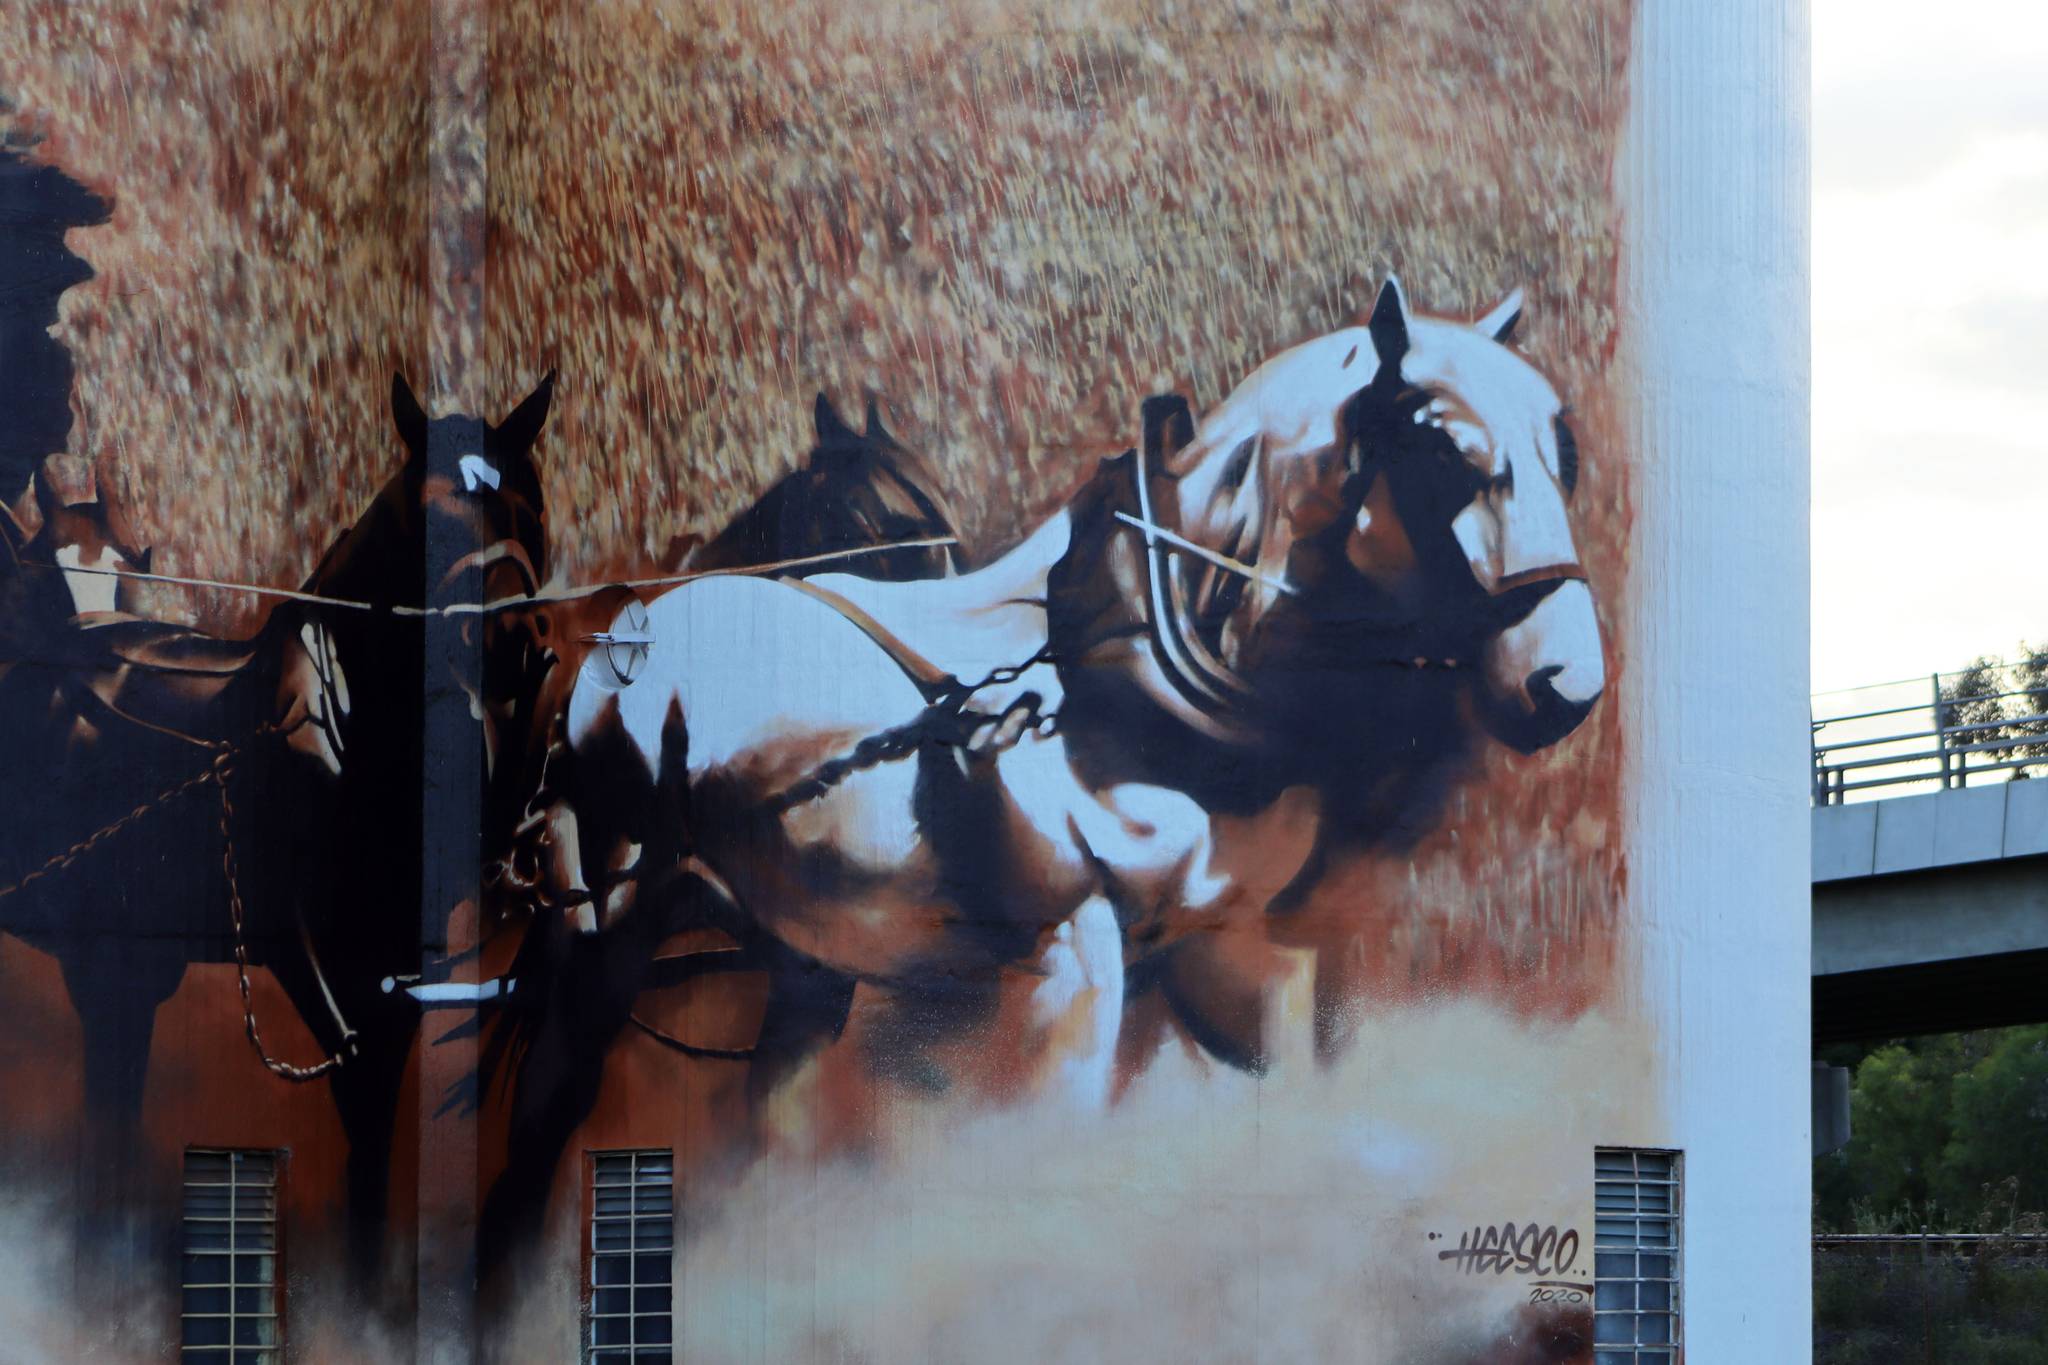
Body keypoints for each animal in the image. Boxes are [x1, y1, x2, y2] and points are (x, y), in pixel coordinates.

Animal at [0, 370, 557, 1285]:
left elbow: (375, 1129)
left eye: (532, 506)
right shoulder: (314, 962)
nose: (513, 644)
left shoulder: (397, 971)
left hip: (126, 963)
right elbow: (358, 1098)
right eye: (431, 518)